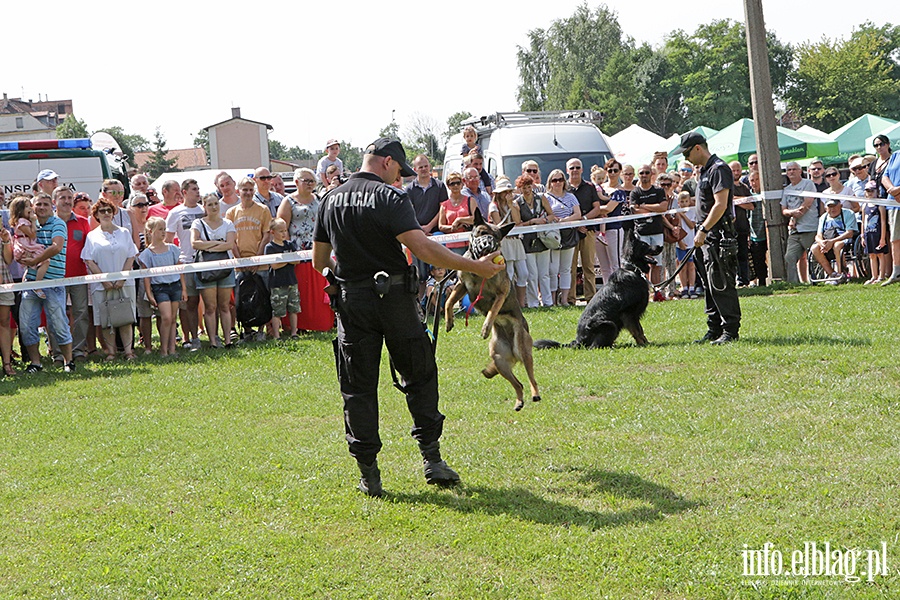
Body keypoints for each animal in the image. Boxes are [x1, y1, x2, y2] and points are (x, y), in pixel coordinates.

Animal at [444, 209, 540, 410]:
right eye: (481, 232)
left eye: (495, 236)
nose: (488, 243)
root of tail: (512, 351)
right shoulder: (461, 285)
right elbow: (448, 301)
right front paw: (449, 321)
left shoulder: (500, 292)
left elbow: (493, 311)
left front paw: (486, 328)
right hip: (499, 359)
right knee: (518, 384)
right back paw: (519, 401)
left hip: (523, 349)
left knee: (531, 378)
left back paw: (535, 394)